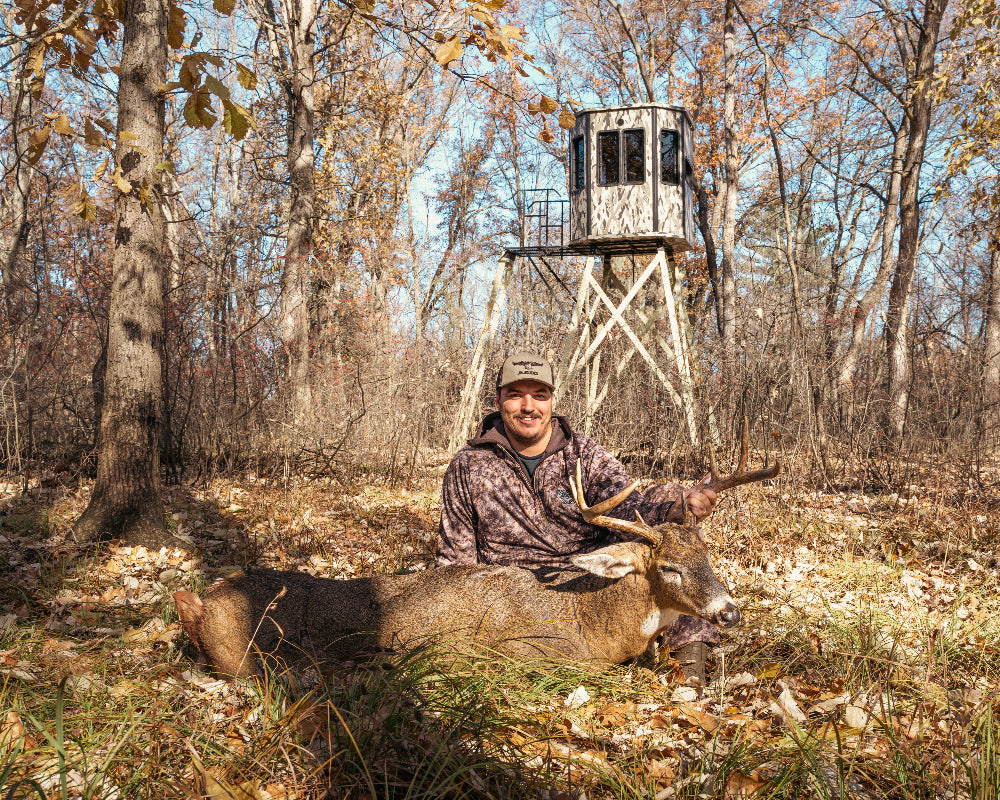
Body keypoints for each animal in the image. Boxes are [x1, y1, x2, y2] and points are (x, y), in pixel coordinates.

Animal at [174, 448, 779, 679]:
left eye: (709, 556)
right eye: (670, 568)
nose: (731, 612)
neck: (596, 620)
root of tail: (208, 599)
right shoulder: (536, 651)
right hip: (257, 659)